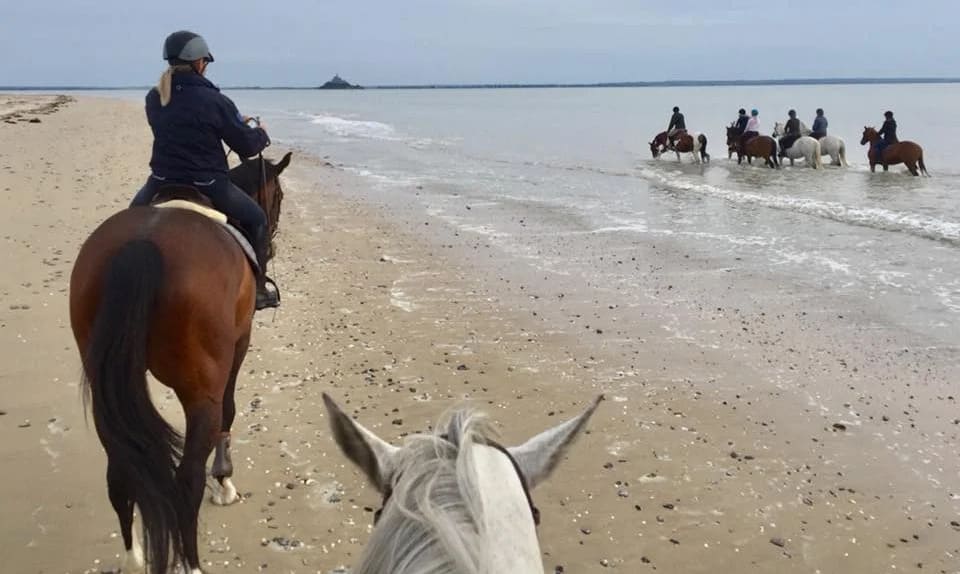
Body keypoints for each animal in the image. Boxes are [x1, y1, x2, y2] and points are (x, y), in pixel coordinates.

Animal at [68, 153, 288, 574]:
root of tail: (141, 245)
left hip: (106, 388)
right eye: (279, 197)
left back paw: (133, 557)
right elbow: (230, 410)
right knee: (187, 481)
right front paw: (225, 483)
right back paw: (192, 562)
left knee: (120, 471)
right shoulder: (240, 343)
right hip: (200, 394)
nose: (270, 245)